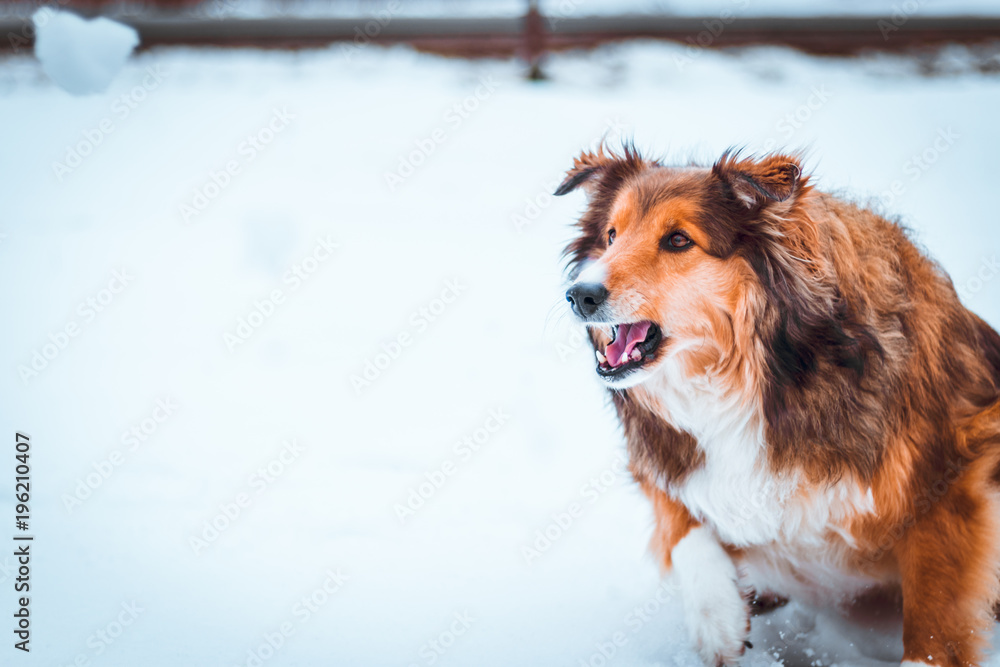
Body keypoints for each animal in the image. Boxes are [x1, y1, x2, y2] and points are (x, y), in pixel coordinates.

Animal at [556, 146, 1000, 667]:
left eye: (679, 240)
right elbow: (681, 521)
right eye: (611, 235)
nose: (579, 295)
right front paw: (718, 620)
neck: (749, 382)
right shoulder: (666, 459)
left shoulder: (954, 474)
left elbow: (931, 624)